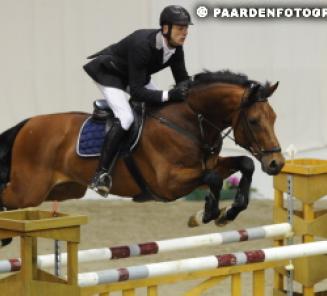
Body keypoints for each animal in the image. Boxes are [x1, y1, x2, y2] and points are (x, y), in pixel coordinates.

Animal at [0, 70, 284, 245]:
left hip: (64, 189)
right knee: (6, 197)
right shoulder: (168, 183)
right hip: (29, 190)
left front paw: (229, 211)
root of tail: (27, 124)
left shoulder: (207, 166)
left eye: (274, 118)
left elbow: (244, 164)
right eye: (254, 120)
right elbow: (214, 178)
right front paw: (206, 214)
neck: (188, 123)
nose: (276, 164)